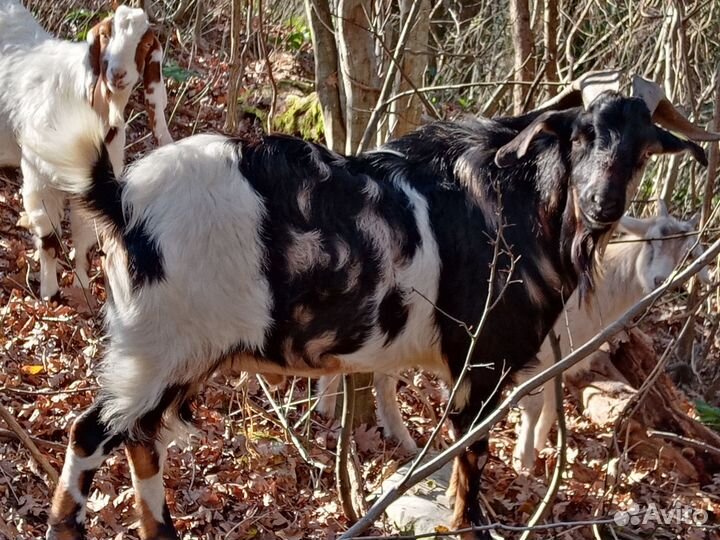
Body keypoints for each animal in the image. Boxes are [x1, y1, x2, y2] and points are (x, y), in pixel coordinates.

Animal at [0, 0, 172, 300]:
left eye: (146, 42)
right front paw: (49, 293)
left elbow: (82, 238)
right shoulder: (38, 179)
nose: (117, 73)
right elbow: (49, 239)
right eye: (105, 35)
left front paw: (80, 288)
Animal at [512, 203, 711, 472]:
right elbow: (533, 406)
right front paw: (523, 461)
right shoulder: (533, 359)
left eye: (685, 256)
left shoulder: (557, 361)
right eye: (651, 240)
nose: (660, 281)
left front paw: (539, 449)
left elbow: (551, 406)